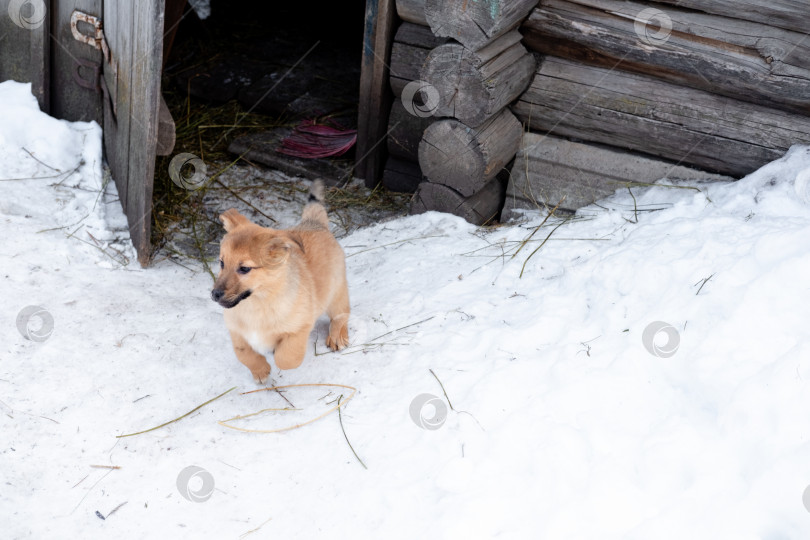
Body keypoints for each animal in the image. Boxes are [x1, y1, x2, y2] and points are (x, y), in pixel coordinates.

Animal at [210, 182, 348, 384]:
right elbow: (243, 354)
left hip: (337, 293)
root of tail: (315, 223)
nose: (214, 294)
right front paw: (260, 371)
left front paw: (275, 357)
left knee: (341, 315)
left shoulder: (299, 328)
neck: (257, 304)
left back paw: (337, 337)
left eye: (244, 268)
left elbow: (287, 358)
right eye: (221, 263)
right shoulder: (236, 332)